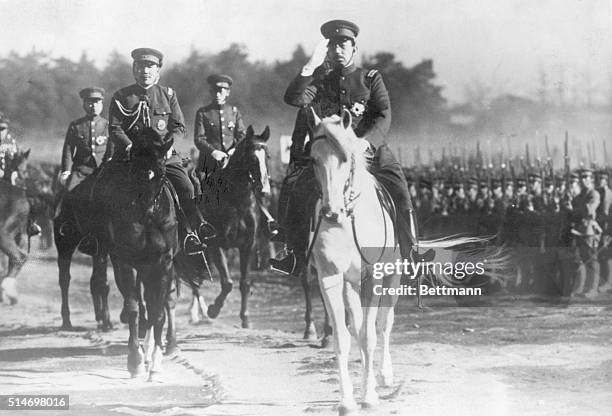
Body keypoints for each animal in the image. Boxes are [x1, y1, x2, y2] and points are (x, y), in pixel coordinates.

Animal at [63, 128, 179, 378]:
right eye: (135, 172)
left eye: (161, 175)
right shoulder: (125, 262)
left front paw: (155, 362)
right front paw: (135, 361)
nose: (147, 214)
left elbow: (158, 311)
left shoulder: (163, 263)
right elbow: (134, 307)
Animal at [306, 110, 402, 412]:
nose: (330, 212)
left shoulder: (374, 277)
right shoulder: (330, 278)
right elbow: (343, 337)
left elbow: (371, 334)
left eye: (346, 158)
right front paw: (347, 400)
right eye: (314, 159)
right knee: (357, 327)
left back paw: (383, 375)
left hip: (392, 277)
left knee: (383, 324)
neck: (348, 221)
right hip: (350, 285)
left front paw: (369, 396)